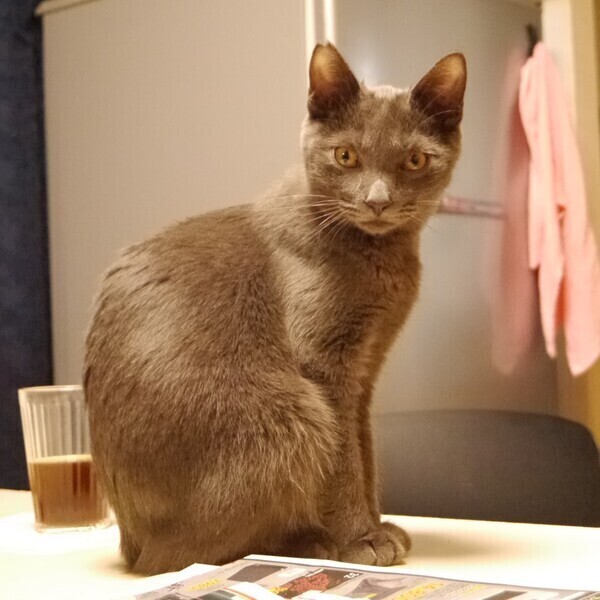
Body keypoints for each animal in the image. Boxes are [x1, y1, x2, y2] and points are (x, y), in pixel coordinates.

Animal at [84, 43, 466, 575]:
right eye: (345, 155)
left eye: (413, 160)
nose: (377, 201)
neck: (381, 261)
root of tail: (129, 544)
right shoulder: (324, 368)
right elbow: (344, 462)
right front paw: (359, 540)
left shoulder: (364, 372)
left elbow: (365, 453)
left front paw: (376, 526)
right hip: (289, 415)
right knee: (187, 553)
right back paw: (306, 542)